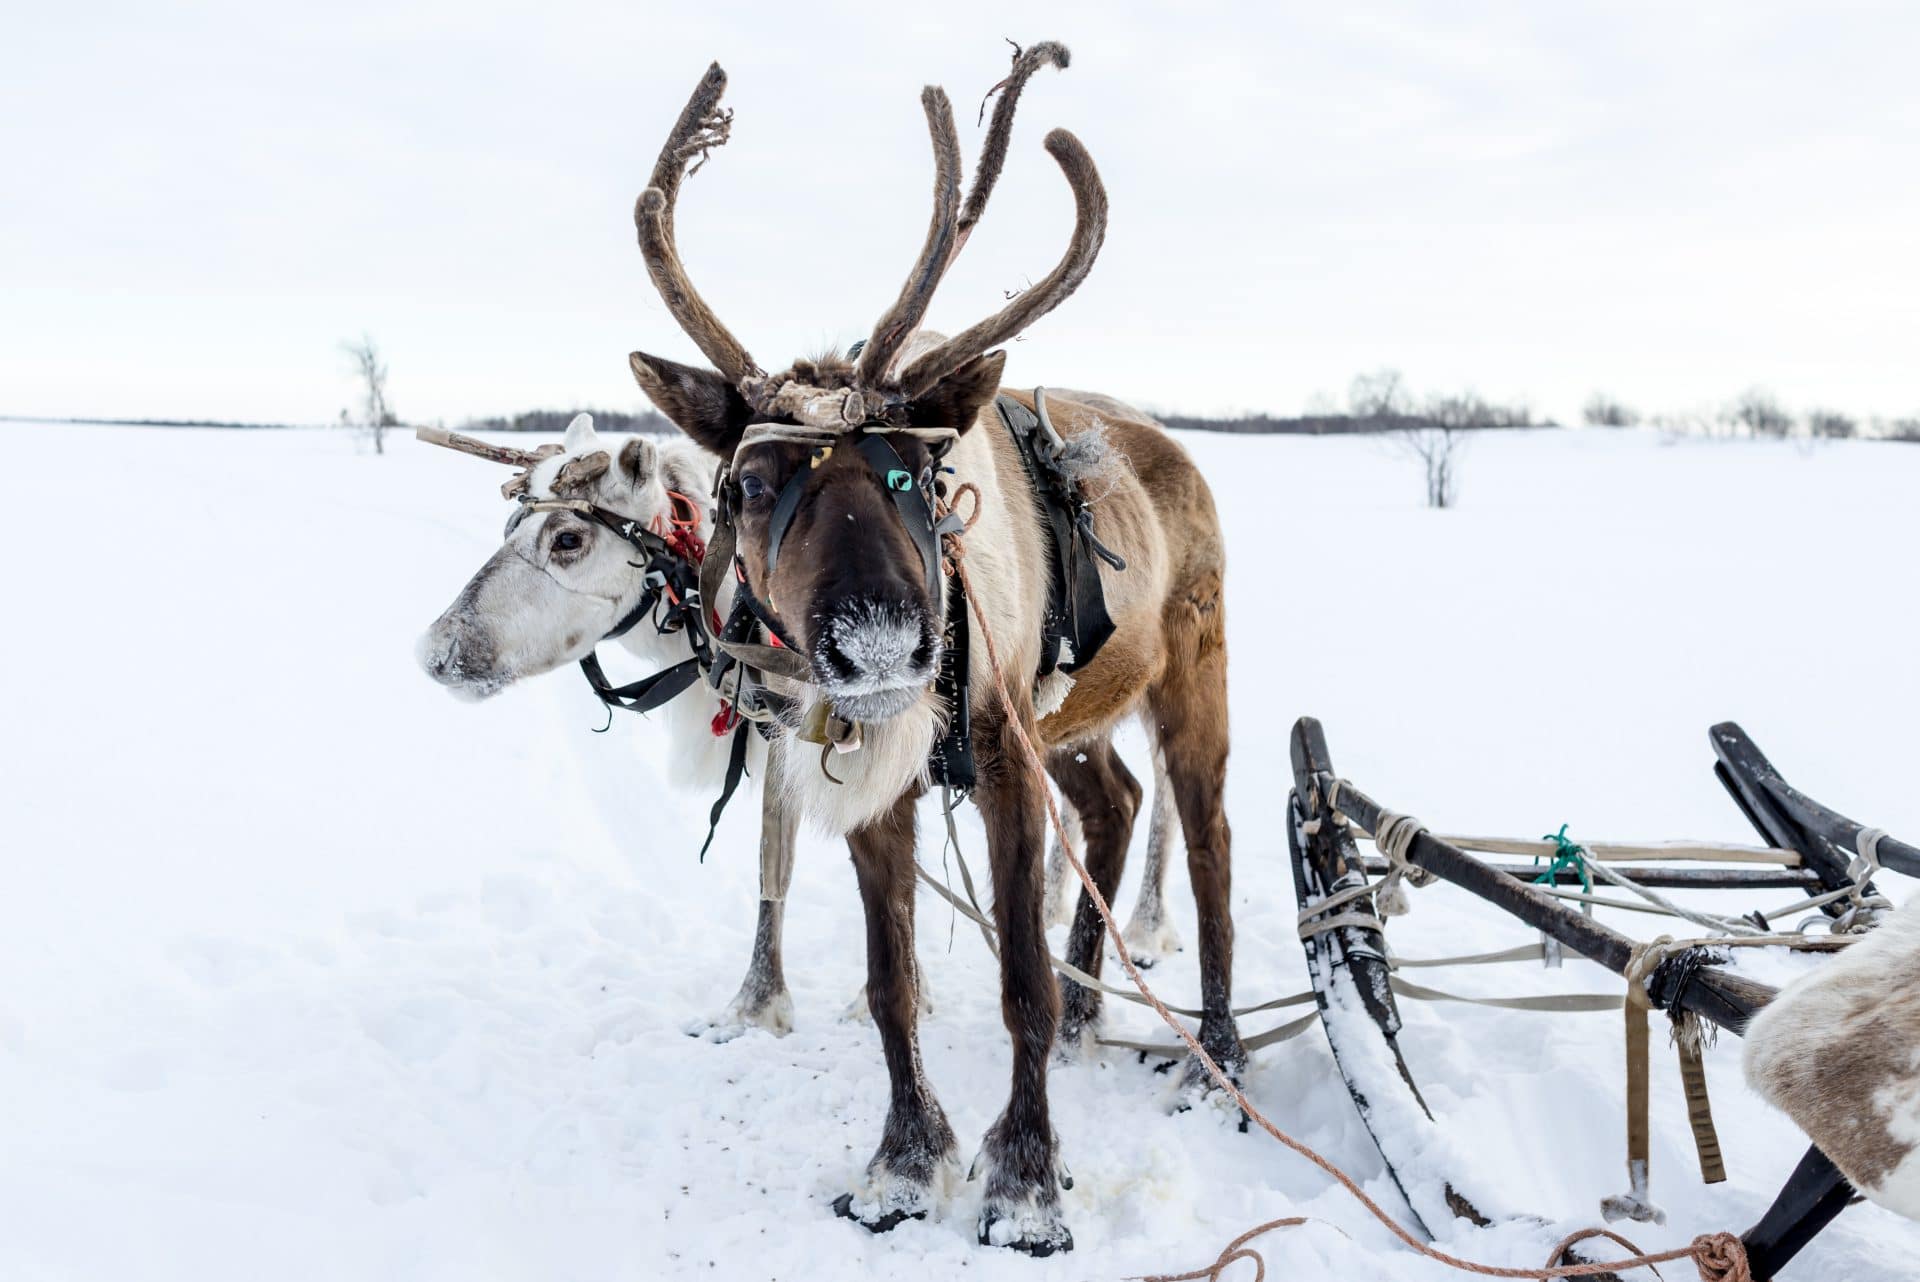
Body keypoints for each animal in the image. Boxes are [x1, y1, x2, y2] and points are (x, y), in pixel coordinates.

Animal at [621, 61, 1246, 1255]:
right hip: (1074, 723)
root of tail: (1178, 452)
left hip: (1195, 675)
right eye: (749, 485)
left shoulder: (1001, 753)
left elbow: (1018, 982)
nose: (877, 643)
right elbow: (890, 983)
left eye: (910, 473)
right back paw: (1096, 1014)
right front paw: (903, 1168)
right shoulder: (878, 780)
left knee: (1209, 845)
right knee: (1116, 804)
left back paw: (1219, 1059)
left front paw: (1028, 1185)